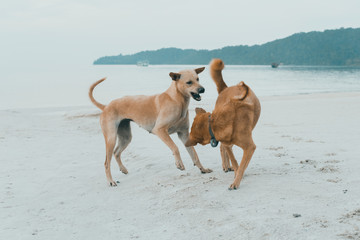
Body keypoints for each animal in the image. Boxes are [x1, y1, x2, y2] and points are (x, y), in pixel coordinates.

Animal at [187, 59, 260, 189]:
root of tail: (226, 88)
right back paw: (226, 166)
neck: (213, 125)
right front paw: (236, 172)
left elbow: (242, 165)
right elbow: (235, 160)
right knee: (223, 148)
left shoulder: (249, 147)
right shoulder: (227, 142)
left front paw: (236, 181)